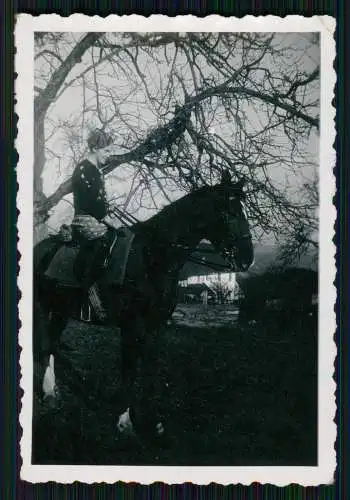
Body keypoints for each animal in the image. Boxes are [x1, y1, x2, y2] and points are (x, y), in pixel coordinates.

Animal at [34, 172, 254, 438]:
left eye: (241, 210)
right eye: (227, 212)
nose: (247, 257)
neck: (153, 257)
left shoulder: (155, 327)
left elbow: (150, 369)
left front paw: (154, 422)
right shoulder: (133, 327)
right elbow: (129, 370)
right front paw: (123, 421)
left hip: (61, 310)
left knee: (52, 342)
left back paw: (52, 391)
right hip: (42, 307)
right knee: (45, 345)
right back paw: (47, 394)